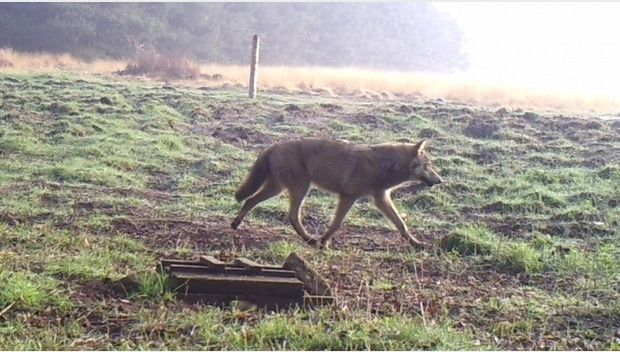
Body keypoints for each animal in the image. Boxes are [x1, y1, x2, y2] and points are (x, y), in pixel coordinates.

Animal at [230, 138, 444, 248]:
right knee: (291, 215)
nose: (440, 180)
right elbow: (336, 224)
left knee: (250, 201)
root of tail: (273, 145)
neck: (382, 166)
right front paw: (324, 241)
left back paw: (236, 224)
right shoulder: (348, 197)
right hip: (299, 189)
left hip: (278, 188)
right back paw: (309, 239)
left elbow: (401, 225)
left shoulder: (381, 198)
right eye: (428, 166)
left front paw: (416, 243)